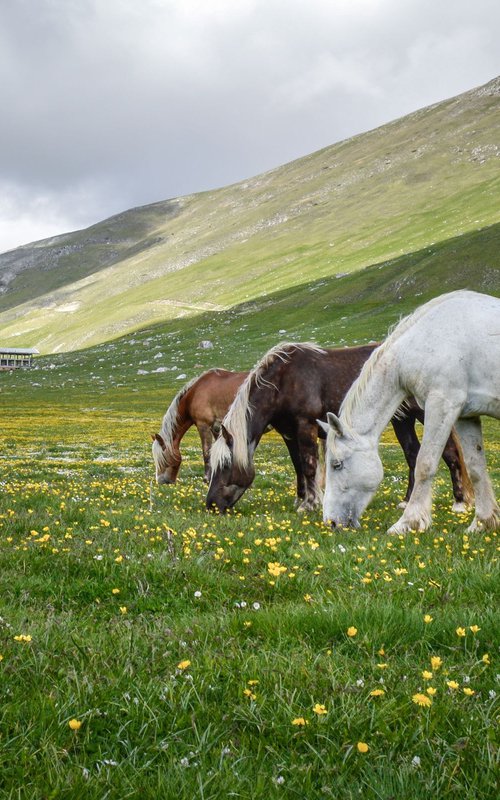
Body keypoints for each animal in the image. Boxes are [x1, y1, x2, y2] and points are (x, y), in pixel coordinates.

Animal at [205, 342, 470, 512]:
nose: (211, 504)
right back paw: (407, 501)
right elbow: (298, 466)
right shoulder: (288, 433)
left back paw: (459, 502)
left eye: (225, 464)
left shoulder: (305, 425)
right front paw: (301, 498)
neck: (282, 381)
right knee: (412, 454)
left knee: (448, 452)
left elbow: (309, 466)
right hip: (401, 419)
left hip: (424, 413)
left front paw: (310, 504)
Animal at [320, 290, 500, 536]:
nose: (331, 522)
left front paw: (408, 521)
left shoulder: (442, 404)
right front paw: (482, 522)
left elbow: (425, 464)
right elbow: (475, 467)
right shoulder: (466, 415)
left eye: (336, 464)